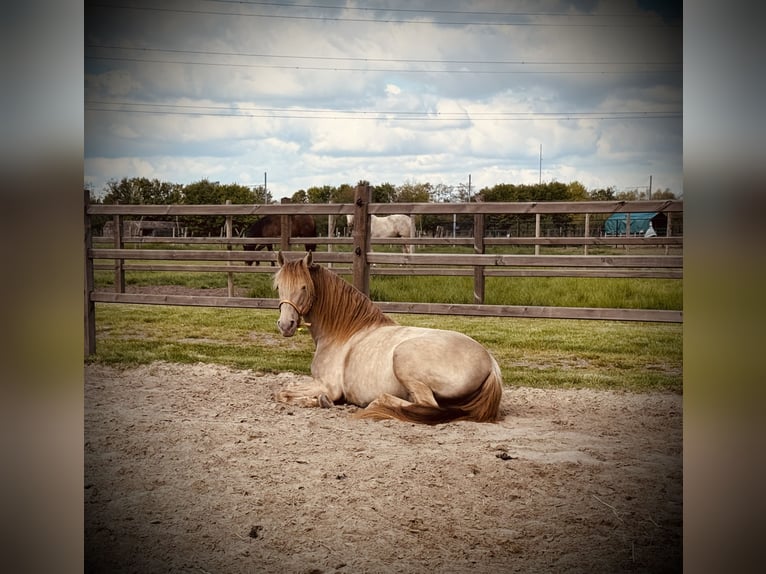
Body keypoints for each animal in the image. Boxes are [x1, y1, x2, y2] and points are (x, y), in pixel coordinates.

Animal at [272, 251, 503, 424]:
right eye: (278, 287)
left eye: (304, 287)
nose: (286, 325)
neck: (342, 334)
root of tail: (491, 364)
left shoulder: (328, 385)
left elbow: (283, 393)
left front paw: (318, 401)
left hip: (404, 360)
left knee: (426, 405)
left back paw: (377, 403)